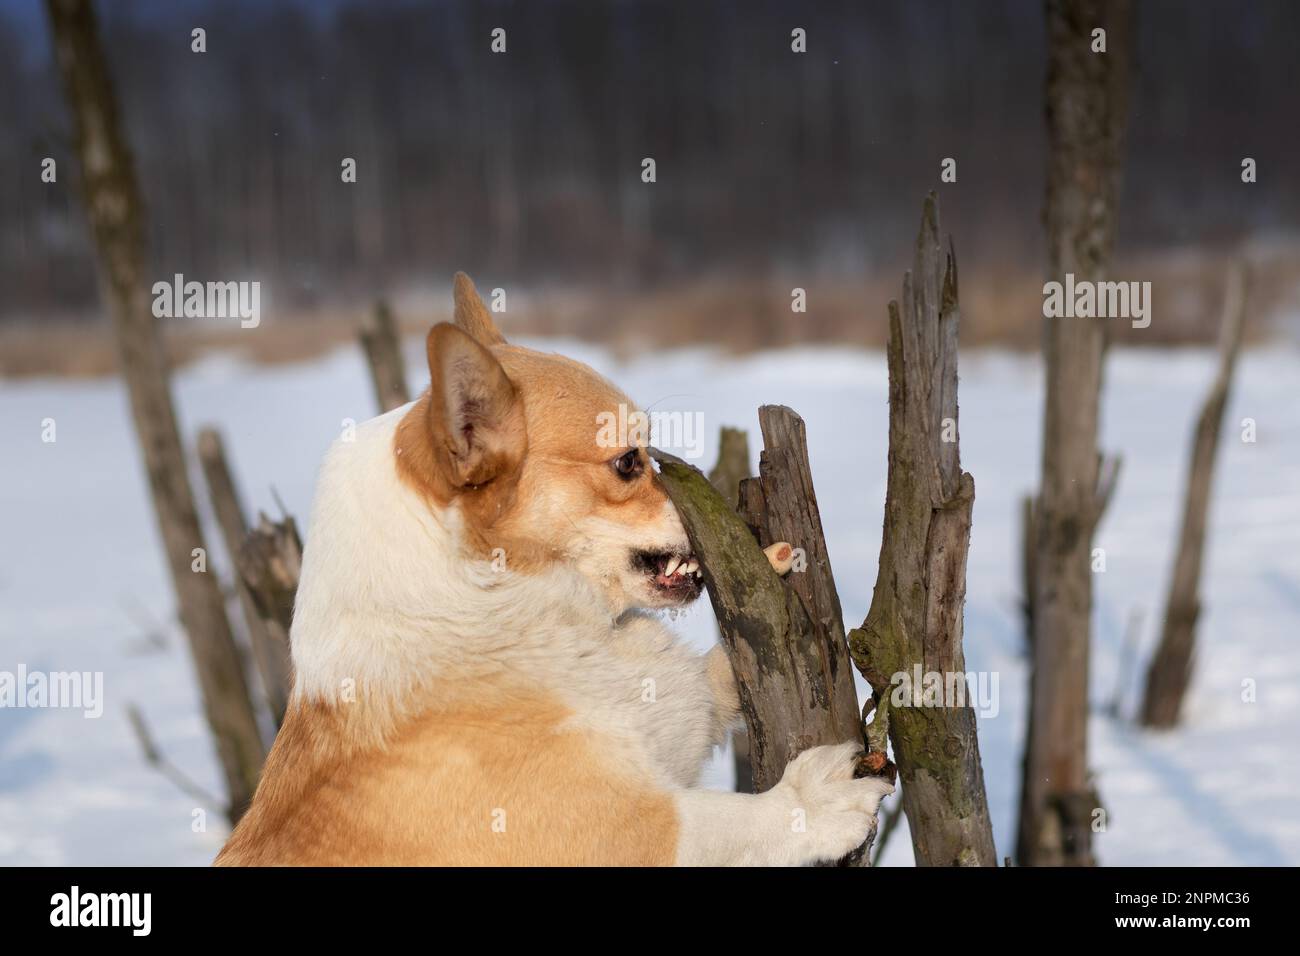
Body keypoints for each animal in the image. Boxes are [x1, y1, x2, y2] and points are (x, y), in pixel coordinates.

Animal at [215, 273, 894, 863]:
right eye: (628, 462)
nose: (732, 513)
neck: (490, 602)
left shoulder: (670, 719)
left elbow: (712, 674)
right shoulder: (635, 831)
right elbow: (735, 821)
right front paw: (818, 799)